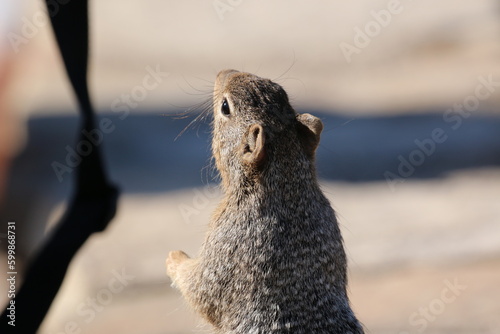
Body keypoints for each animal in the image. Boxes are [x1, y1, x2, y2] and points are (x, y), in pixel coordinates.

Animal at [166, 69, 366, 332]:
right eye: (278, 89)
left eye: (225, 107)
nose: (224, 72)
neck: (288, 187)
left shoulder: (227, 245)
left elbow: (201, 289)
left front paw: (175, 258)